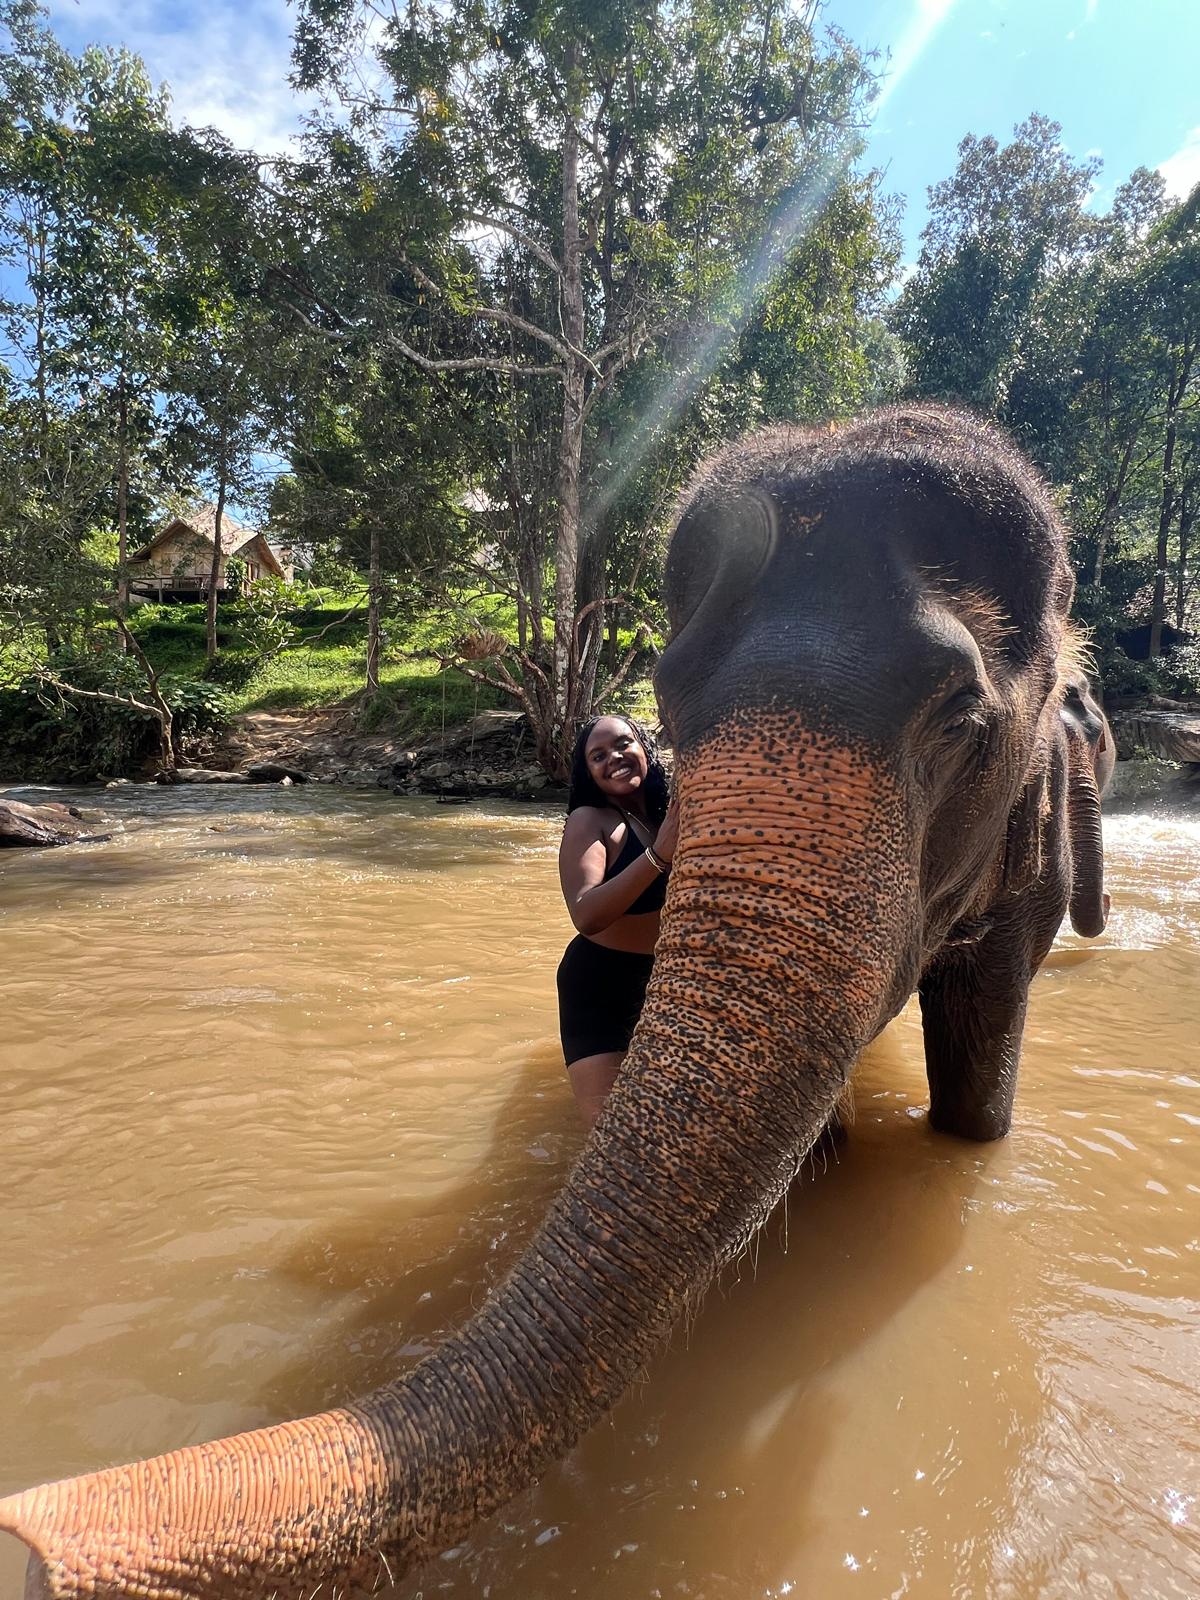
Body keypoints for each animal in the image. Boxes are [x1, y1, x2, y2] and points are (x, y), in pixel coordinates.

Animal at [0, 409, 1113, 1600]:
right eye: (668, 707)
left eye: (959, 721)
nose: (31, 1539)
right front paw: (824, 1159)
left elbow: (979, 1074)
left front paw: (968, 1133)